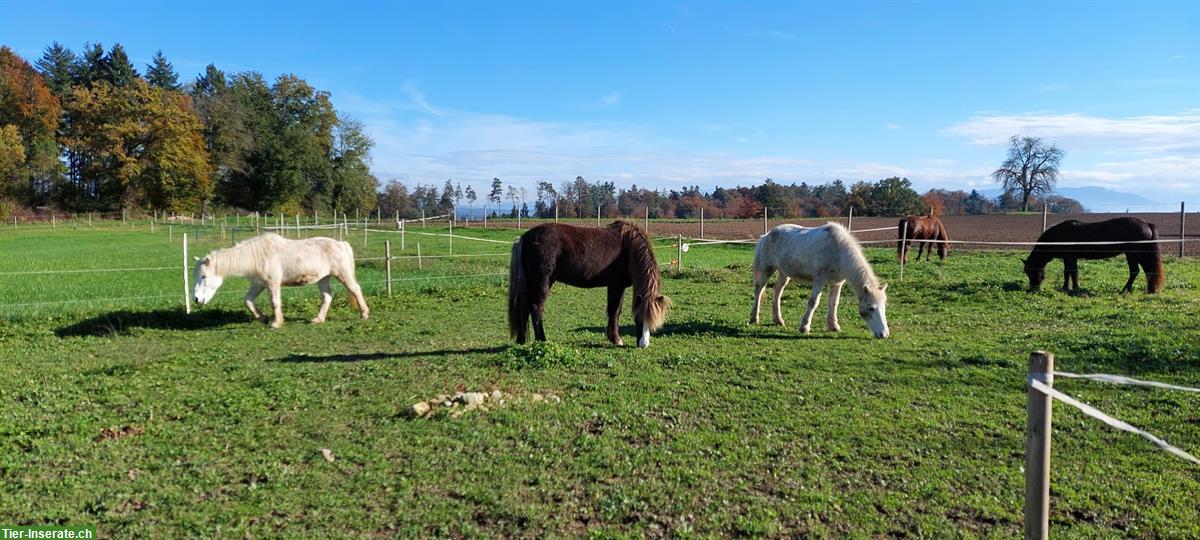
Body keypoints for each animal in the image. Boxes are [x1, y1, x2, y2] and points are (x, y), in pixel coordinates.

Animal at [192, 232, 367, 328]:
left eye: (203, 276)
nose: (196, 299)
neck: (257, 256)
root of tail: (340, 243)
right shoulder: (258, 285)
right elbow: (247, 301)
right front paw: (263, 318)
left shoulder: (272, 283)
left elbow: (275, 302)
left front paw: (276, 323)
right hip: (323, 279)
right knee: (327, 297)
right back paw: (318, 319)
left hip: (343, 275)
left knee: (355, 290)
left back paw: (364, 314)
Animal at [506, 222, 672, 348]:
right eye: (638, 318)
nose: (643, 345)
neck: (628, 246)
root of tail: (524, 238)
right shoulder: (615, 285)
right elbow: (614, 311)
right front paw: (616, 340)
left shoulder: (620, 287)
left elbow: (616, 311)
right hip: (542, 284)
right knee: (536, 309)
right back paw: (542, 340)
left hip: (530, 284)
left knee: (525, 308)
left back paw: (521, 340)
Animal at [748, 222, 892, 338]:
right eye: (871, 308)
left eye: (884, 307)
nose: (883, 334)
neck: (838, 251)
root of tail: (766, 235)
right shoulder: (819, 280)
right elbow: (813, 302)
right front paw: (804, 327)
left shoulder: (837, 283)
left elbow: (834, 303)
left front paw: (834, 326)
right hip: (767, 269)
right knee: (759, 290)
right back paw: (754, 318)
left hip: (784, 273)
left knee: (777, 292)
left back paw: (778, 320)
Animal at [1022, 216, 1161, 295]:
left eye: (1030, 271)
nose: (1033, 288)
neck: (1058, 236)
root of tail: (1146, 224)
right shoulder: (1070, 258)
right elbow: (1070, 272)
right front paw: (1070, 287)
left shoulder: (1069, 257)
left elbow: (1071, 272)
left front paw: (1071, 288)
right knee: (1148, 272)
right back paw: (1147, 290)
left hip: (1133, 255)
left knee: (1135, 271)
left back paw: (1125, 290)